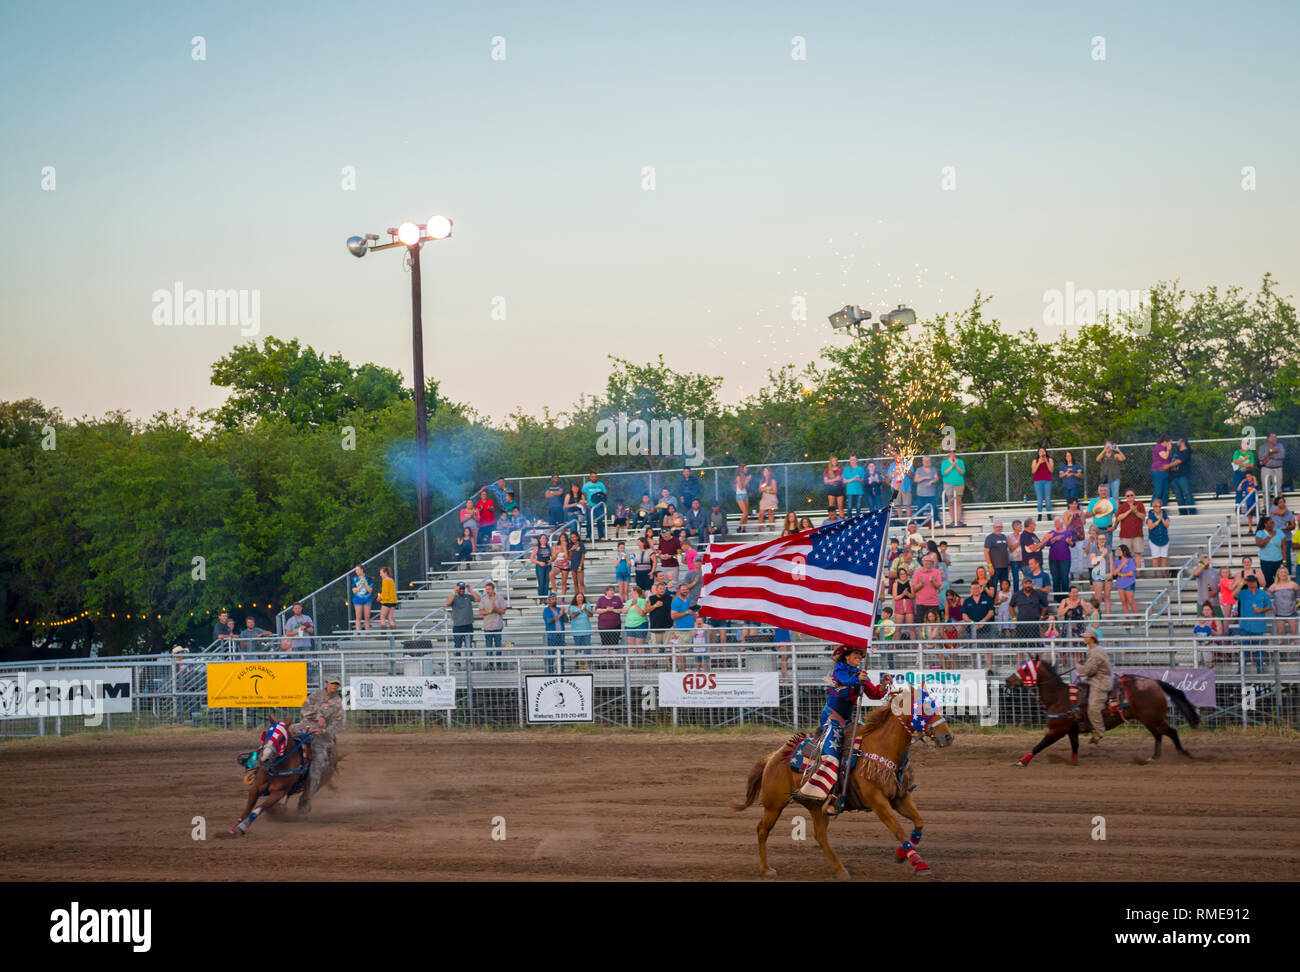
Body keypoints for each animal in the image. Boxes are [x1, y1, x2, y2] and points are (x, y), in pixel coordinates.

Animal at [733, 680, 956, 878]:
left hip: (815, 805)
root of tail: (772, 757)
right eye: (924, 707)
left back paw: (840, 869)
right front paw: (919, 864)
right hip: (774, 804)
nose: (948, 737)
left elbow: (919, 822)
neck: (881, 748)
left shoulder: (900, 798)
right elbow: (899, 830)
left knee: (820, 836)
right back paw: (766, 869)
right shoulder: (878, 802)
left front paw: (902, 855)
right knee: (762, 830)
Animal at [1003, 652, 1196, 769]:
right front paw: (1074, 762)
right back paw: (1153, 758)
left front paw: (1021, 762)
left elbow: (1039, 745)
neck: (1059, 696)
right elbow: (1075, 746)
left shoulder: (1057, 729)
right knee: (1158, 735)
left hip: (1154, 719)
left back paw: (1185, 755)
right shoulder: (1071, 730)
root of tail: (1154, 682)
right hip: (1149, 720)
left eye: (1025, 669)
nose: (1007, 680)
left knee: (1171, 732)